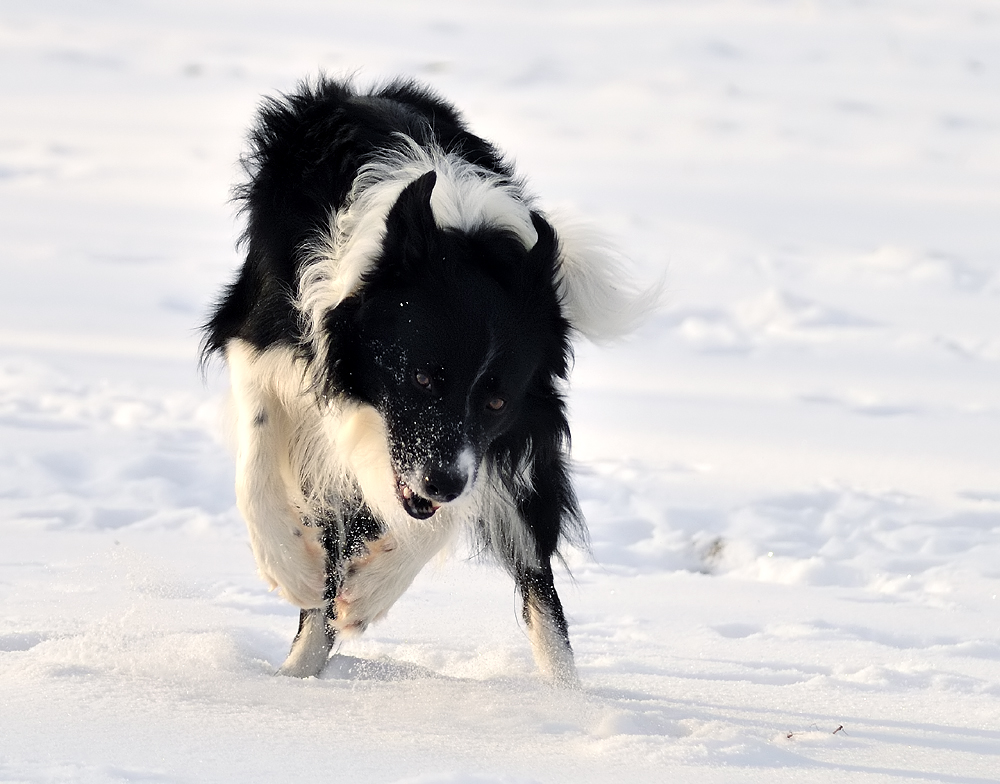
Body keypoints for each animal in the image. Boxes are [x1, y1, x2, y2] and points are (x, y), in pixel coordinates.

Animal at [203, 76, 648, 684]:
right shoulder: (258, 339)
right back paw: (298, 667)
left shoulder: (507, 432)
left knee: (537, 587)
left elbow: (442, 512)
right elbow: (259, 459)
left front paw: (368, 593)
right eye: (419, 378)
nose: (442, 483)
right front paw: (291, 566)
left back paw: (567, 696)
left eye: (496, 401)